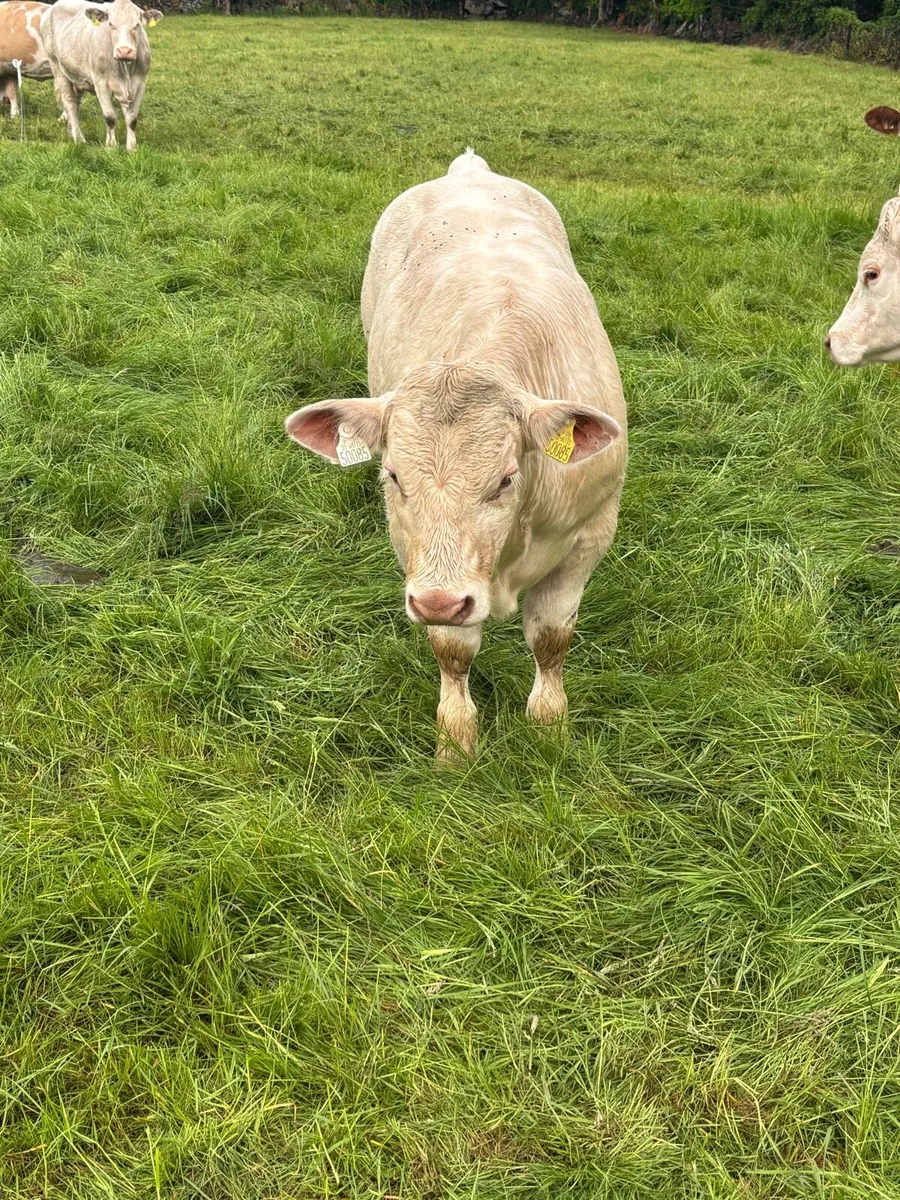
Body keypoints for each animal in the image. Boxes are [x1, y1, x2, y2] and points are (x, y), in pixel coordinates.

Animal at [42, 0, 162, 151]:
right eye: (111, 24)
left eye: (137, 24)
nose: (124, 51)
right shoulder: (101, 83)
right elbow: (110, 116)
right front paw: (111, 146)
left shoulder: (140, 83)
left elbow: (132, 119)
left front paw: (131, 148)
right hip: (57, 66)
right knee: (69, 103)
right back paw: (79, 138)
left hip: (76, 75)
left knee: (76, 103)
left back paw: (72, 131)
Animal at [285, 151, 628, 759]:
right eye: (392, 475)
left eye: (506, 479)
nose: (442, 602)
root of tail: (468, 170)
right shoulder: (420, 562)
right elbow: (453, 651)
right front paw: (456, 744)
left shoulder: (590, 534)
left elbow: (551, 639)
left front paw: (549, 728)